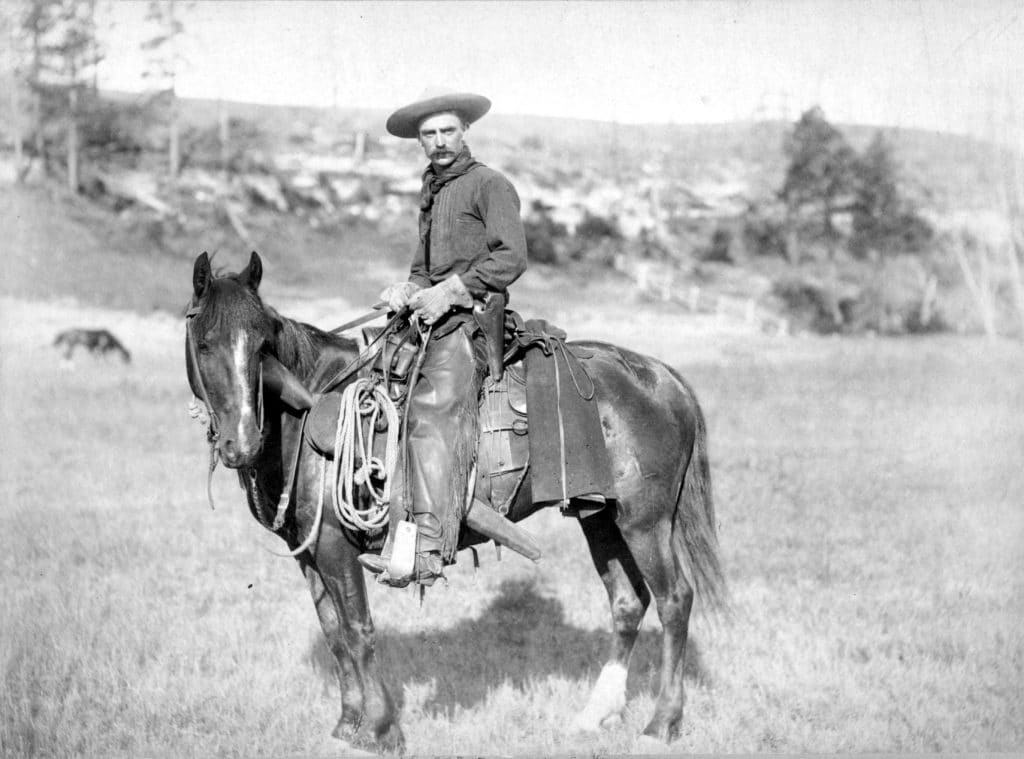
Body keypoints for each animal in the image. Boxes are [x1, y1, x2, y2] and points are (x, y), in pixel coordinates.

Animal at [186, 251, 729, 749]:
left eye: (262, 346)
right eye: (205, 343)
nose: (241, 443)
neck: (308, 409)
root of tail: (662, 377)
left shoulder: (337, 549)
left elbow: (359, 632)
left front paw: (381, 730)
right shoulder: (310, 553)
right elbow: (335, 635)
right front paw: (346, 724)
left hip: (645, 522)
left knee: (674, 601)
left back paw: (662, 723)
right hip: (599, 517)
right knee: (627, 602)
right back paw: (596, 714)